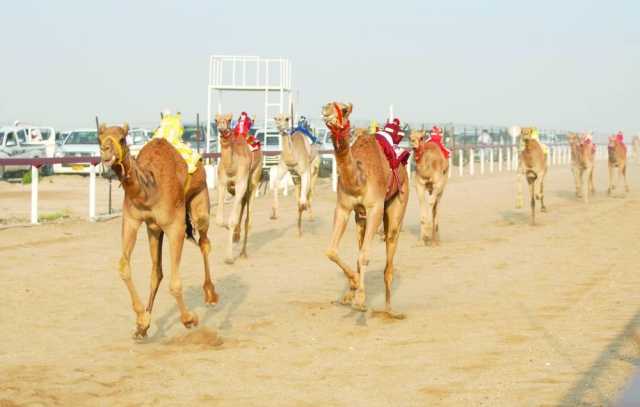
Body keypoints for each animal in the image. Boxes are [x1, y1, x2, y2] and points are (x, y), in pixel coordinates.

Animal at [98, 123, 218, 338]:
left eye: (122, 138)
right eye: (99, 138)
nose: (106, 151)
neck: (149, 191)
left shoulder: (175, 226)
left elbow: (175, 283)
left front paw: (189, 319)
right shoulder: (132, 220)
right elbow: (124, 267)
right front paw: (142, 320)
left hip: (200, 201)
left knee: (204, 242)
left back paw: (211, 294)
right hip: (154, 229)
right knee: (157, 271)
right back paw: (144, 326)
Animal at [215, 114, 262, 264]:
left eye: (229, 120)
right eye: (216, 120)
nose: (222, 128)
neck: (232, 166)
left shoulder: (241, 184)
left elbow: (232, 220)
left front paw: (229, 258)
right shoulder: (222, 183)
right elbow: (219, 220)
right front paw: (231, 231)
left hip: (254, 180)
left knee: (248, 219)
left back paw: (243, 253)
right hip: (236, 189)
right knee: (242, 204)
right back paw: (236, 235)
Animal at [320, 103, 410, 318]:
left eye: (344, 109)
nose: (326, 109)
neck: (358, 181)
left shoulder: (375, 208)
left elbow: (365, 255)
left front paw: (360, 300)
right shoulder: (343, 208)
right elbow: (331, 251)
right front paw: (353, 287)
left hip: (399, 202)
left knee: (389, 252)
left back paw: (390, 310)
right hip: (360, 219)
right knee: (360, 247)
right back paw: (351, 295)